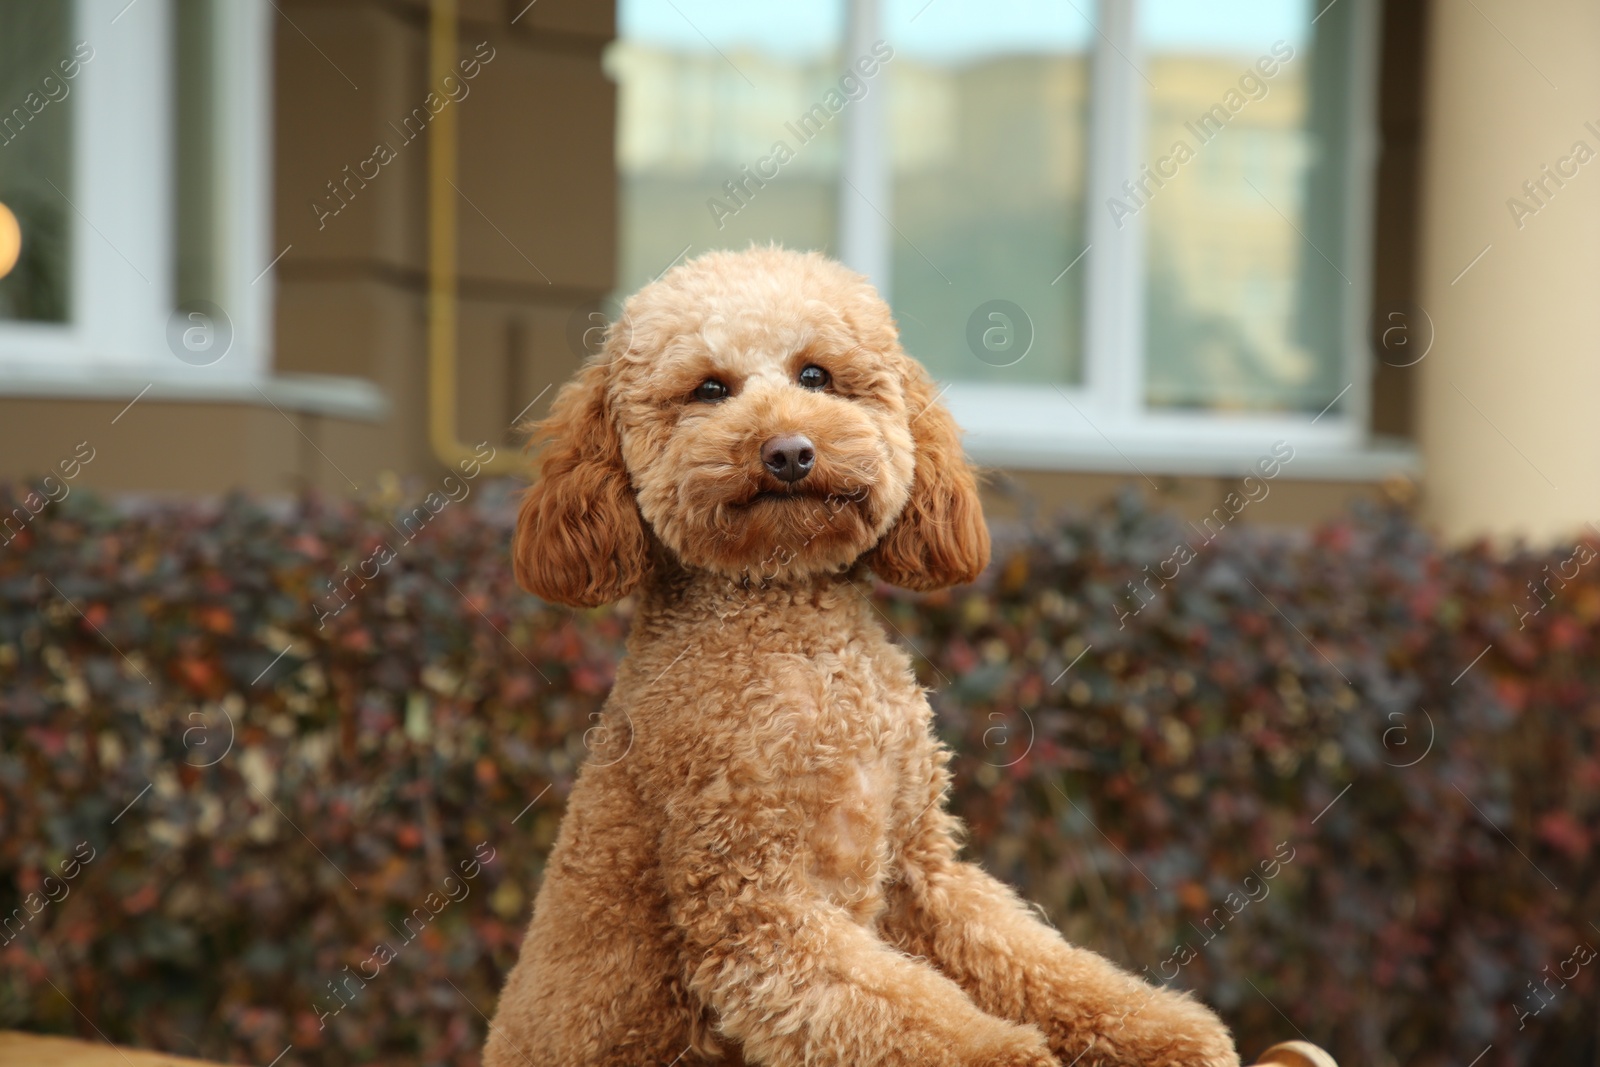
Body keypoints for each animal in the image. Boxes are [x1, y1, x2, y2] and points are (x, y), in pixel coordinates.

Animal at [486, 244, 1235, 1067]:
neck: (803, 642)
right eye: (709, 388)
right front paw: (1003, 1054)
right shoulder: (756, 904)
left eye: (815, 374)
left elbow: (1032, 956)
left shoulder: (918, 868)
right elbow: (899, 1010)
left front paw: (1164, 1030)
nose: (788, 451)